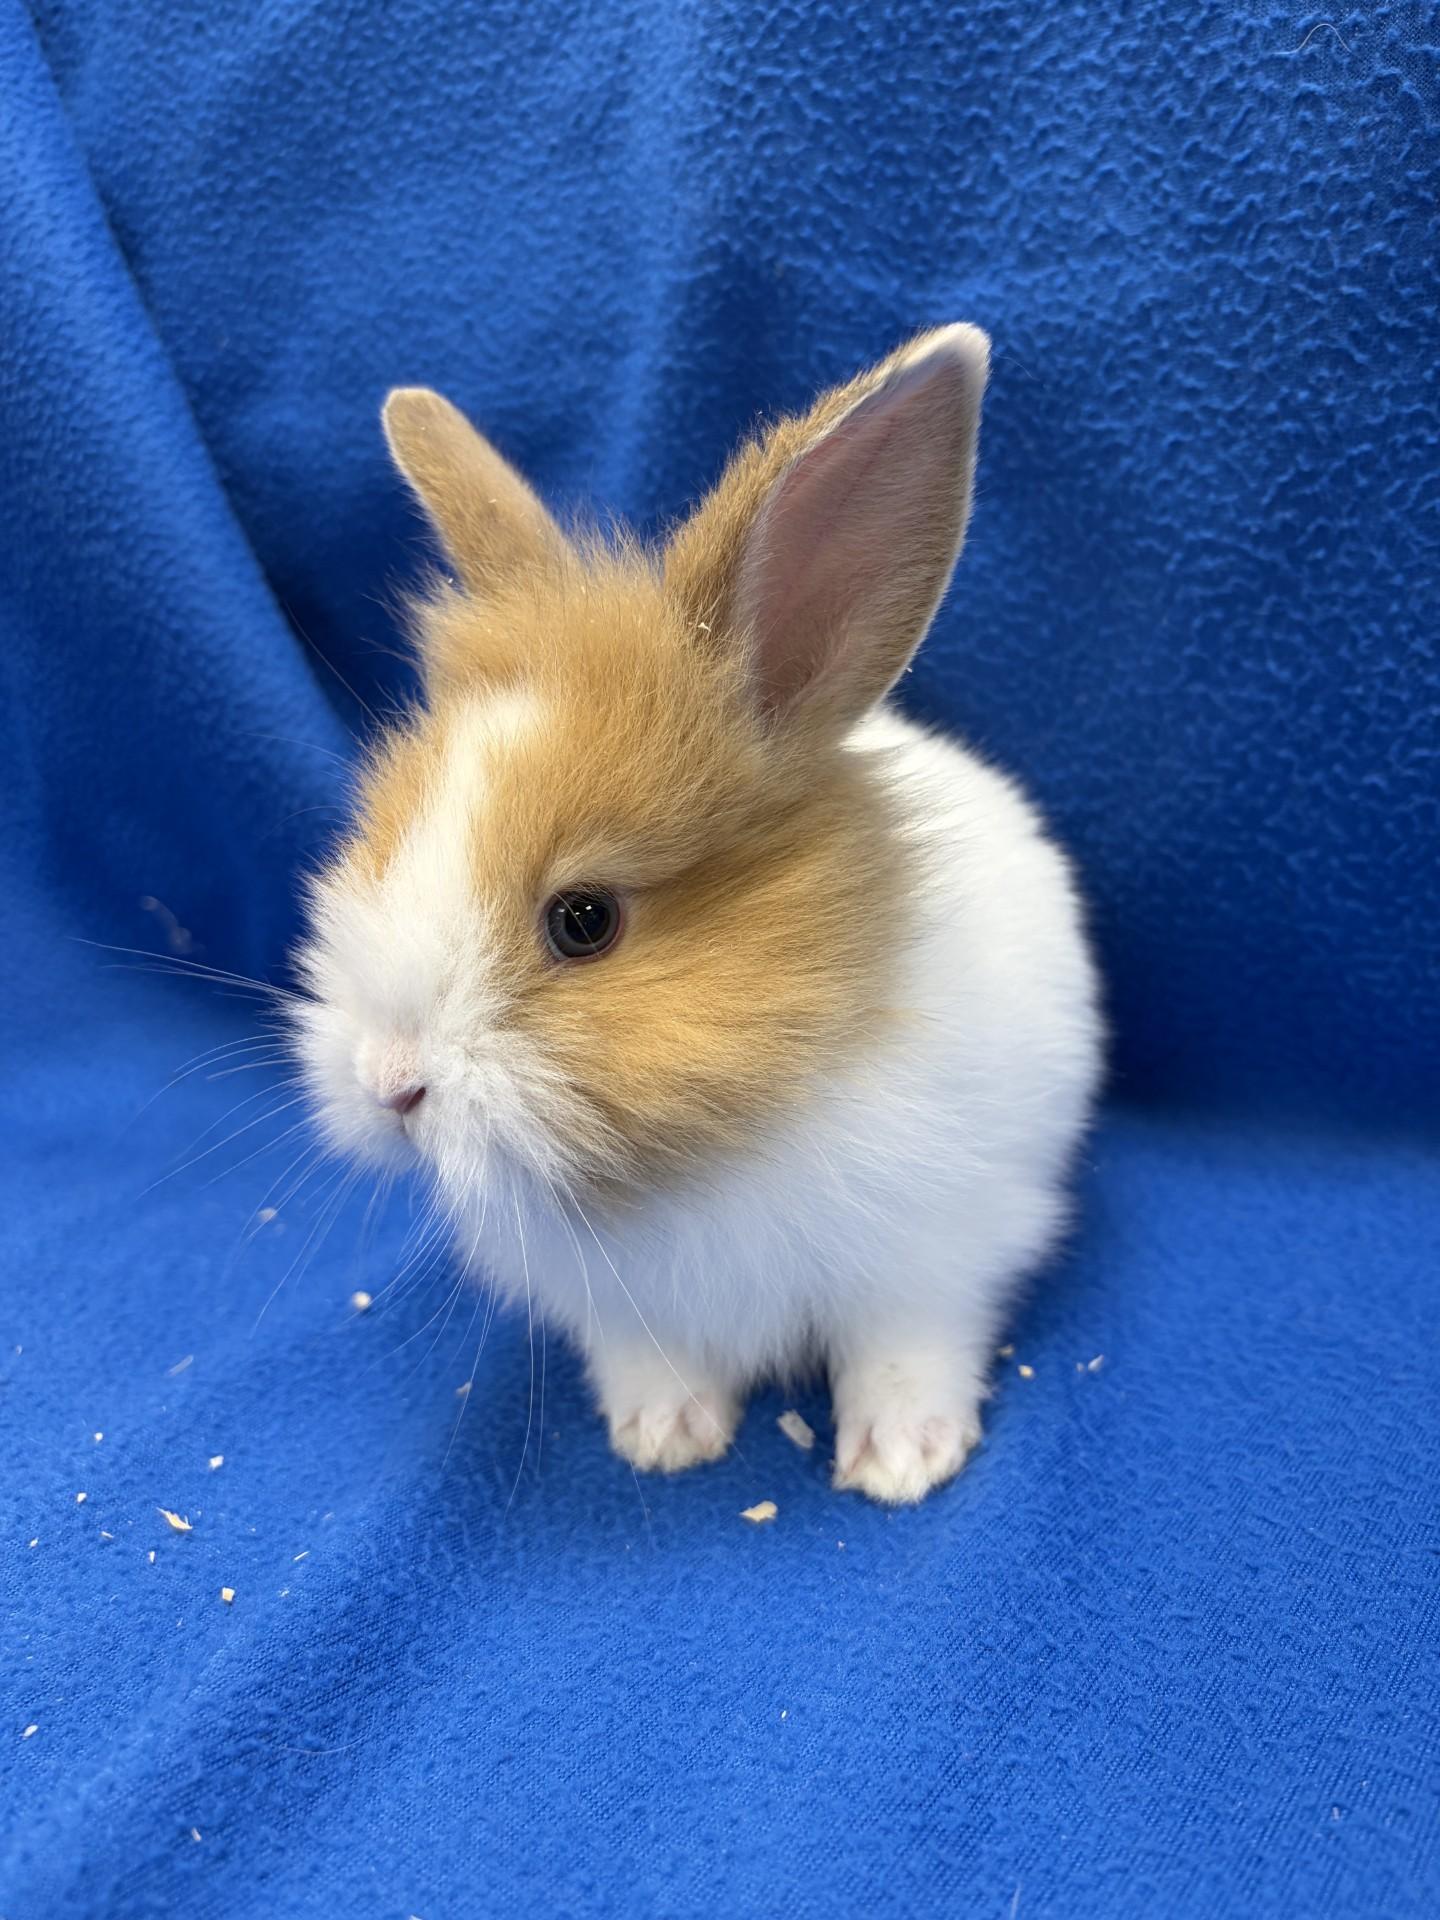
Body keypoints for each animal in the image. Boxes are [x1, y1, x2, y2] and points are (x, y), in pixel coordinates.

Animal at [292, 324, 1103, 1505]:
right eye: (381, 845)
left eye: (583, 920)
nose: (389, 1085)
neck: (703, 1146)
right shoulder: (626, 1309)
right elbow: (653, 1358)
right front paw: (663, 1438)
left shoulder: (935, 1256)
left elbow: (906, 1350)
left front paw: (902, 1462)